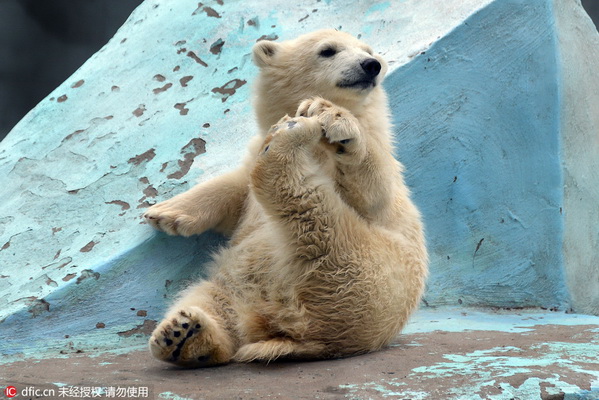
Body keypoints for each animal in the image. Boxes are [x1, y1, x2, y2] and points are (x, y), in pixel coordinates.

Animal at [144, 29, 426, 368]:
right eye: (328, 50)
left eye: (368, 50)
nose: (371, 65)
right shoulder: (252, 155)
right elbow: (234, 190)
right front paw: (164, 213)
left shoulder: (377, 175)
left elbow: (375, 190)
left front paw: (329, 114)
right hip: (235, 286)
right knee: (209, 301)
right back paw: (182, 335)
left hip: (366, 272)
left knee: (312, 219)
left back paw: (285, 141)